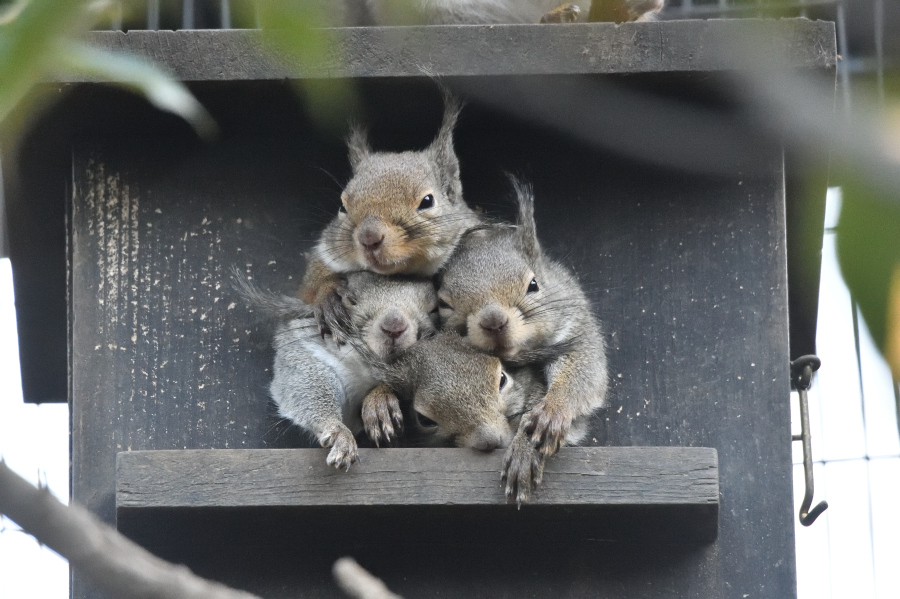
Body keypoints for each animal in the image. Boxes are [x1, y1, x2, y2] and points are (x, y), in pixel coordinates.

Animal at [236, 274, 440, 474]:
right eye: (350, 300)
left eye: (433, 309)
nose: (394, 325)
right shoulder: (306, 346)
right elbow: (305, 384)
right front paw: (339, 433)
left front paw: (380, 401)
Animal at [434, 177, 608, 502]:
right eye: (444, 305)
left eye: (534, 284)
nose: (493, 320)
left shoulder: (577, 327)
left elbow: (584, 374)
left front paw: (548, 418)